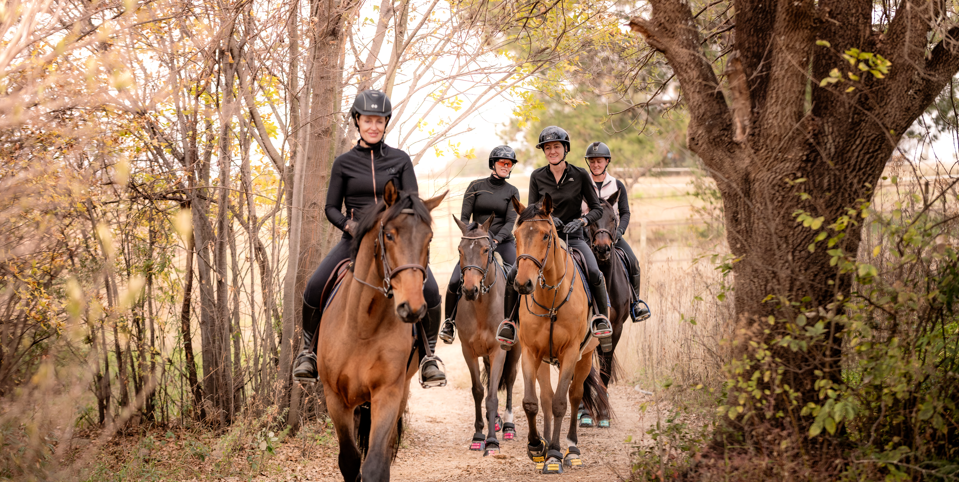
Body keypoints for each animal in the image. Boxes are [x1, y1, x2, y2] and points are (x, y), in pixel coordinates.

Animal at [316, 180, 446, 482]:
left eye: (429, 239)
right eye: (389, 235)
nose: (412, 308)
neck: (362, 326)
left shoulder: (388, 393)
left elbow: (376, 464)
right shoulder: (335, 399)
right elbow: (349, 461)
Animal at [452, 215, 520, 456]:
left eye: (485, 250)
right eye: (460, 250)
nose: (469, 290)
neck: (481, 306)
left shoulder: (499, 350)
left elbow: (491, 396)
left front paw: (491, 442)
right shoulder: (469, 351)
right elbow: (479, 391)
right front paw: (478, 436)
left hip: (515, 351)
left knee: (509, 379)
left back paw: (508, 426)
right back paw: (498, 421)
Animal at [509, 194, 612, 474]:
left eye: (546, 235)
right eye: (516, 235)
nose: (523, 284)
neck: (551, 299)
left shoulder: (569, 354)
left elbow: (560, 404)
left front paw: (555, 454)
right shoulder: (530, 353)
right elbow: (532, 402)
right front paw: (537, 447)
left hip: (584, 358)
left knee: (574, 397)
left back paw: (572, 450)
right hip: (544, 360)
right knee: (545, 397)